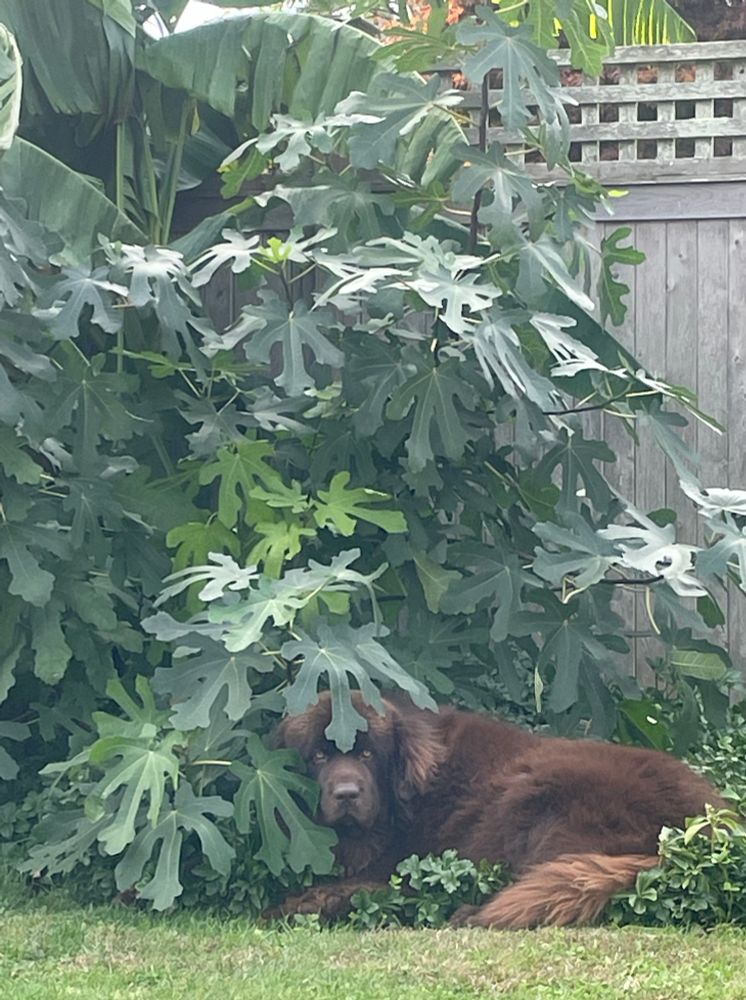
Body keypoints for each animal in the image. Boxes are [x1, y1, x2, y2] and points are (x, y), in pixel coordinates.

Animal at [270, 692, 723, 928]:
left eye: (367, 754)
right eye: (318, 758)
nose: (347, 793)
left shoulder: (400, 865)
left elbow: (357, 888)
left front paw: (294, 905)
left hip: (535, 794)